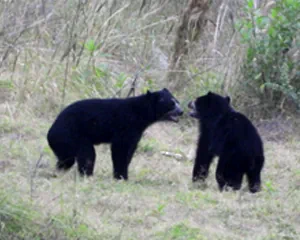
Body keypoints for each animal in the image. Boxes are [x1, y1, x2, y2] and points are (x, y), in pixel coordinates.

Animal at [47, 89, 183, 179]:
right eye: (171, 104)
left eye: (177, 101)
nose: (181, 111)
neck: (141, 115)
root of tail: (50, 133)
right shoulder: (125, 125)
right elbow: (120, 148)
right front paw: (121, 176)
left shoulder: (136, 132)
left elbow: (130, 150)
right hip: (71, 135)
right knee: (87, 154)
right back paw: (87, 175)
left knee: (66, 158)